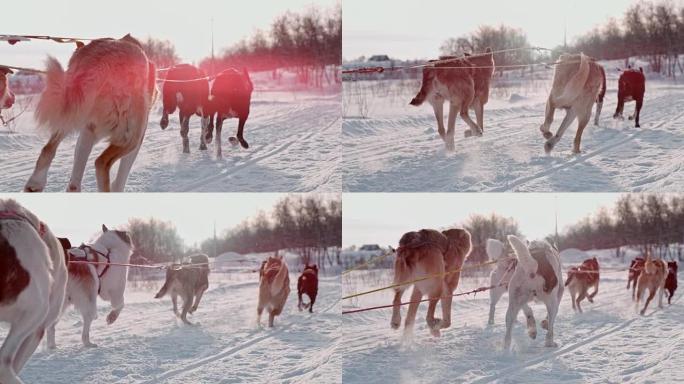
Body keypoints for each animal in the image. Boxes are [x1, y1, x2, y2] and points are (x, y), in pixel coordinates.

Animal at [24, 33, 156, 192]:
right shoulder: (136, 139)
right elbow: (121, 177)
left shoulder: (87, 131)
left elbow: (75, 175)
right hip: (132, 136)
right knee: (101, 163)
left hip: (71, 113)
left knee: (48, 149)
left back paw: (35, 184)